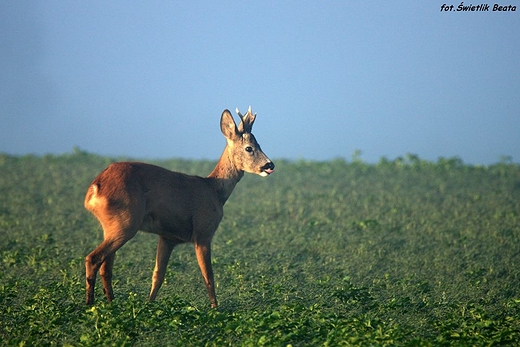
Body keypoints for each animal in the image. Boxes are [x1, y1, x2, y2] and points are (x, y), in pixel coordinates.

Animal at [83, 107, 274, 308]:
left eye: (259, 144)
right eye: (249, 148)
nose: (270, 165)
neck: (215, 190)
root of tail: (94, 188)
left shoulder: (167, 237)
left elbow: (158, 275)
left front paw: (149, 304)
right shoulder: (203, 231)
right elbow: (208, 276)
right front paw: (215, 308)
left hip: (112, 225)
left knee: (106, 266)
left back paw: (111, 303)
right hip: (125, 222)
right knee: (93, 258)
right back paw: (90, 303)